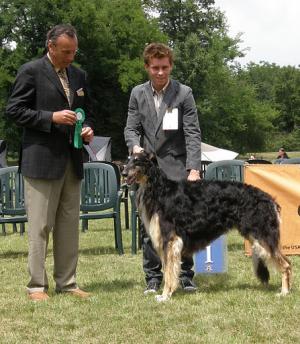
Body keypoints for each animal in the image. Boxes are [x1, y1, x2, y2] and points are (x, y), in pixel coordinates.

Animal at [123, 152, 290, 302]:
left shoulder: (169, 240)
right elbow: (169, 271)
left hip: (263, 237)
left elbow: (169, 273)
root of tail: (270, 200)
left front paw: (165, 296)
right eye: (128, 159)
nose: (124, 174)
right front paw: (166, 293)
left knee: (287, 264)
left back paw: (284, 292)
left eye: (137, 161)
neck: (160, 190)